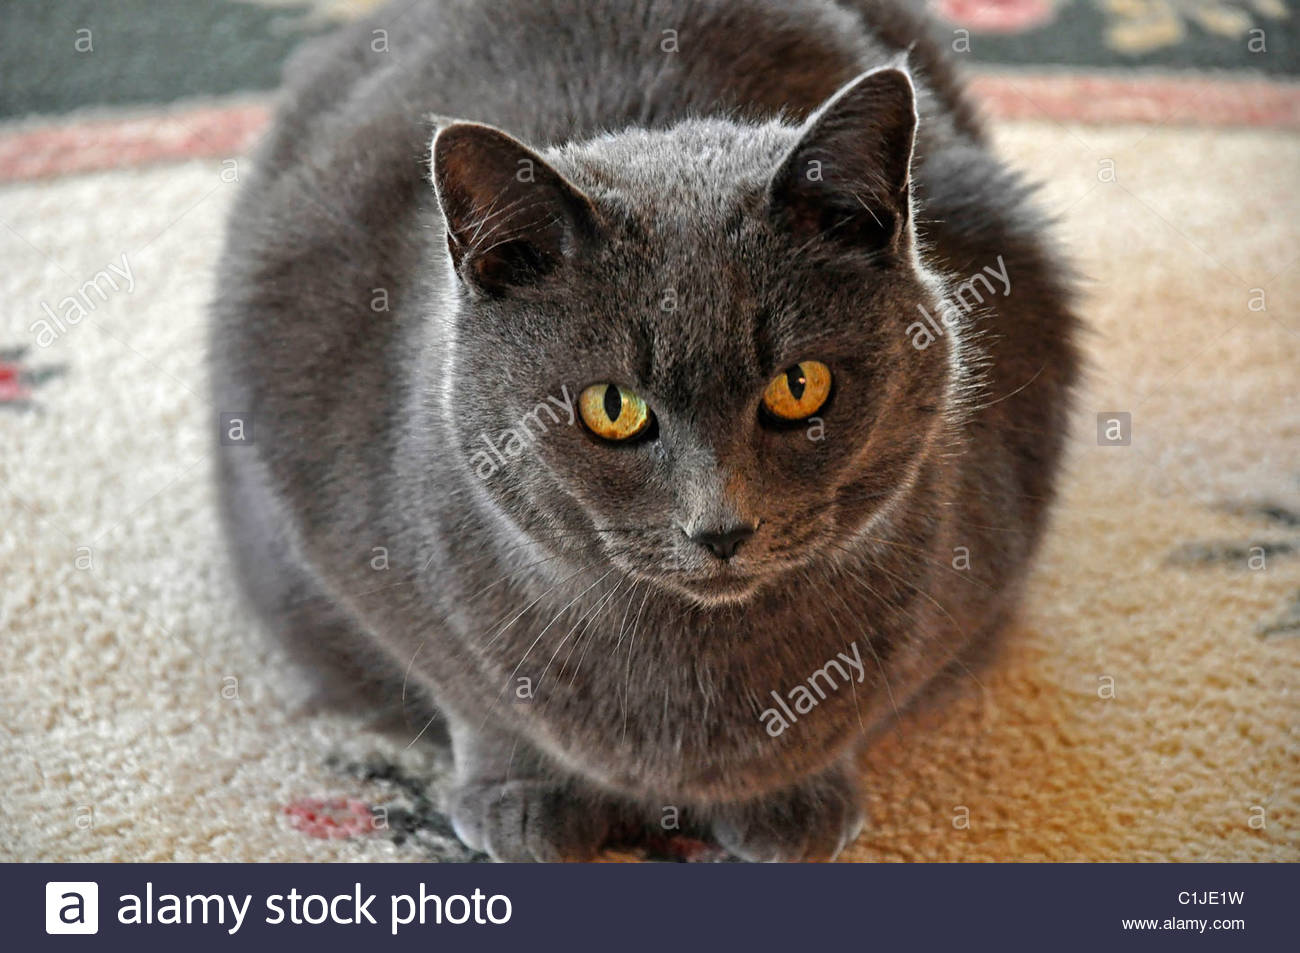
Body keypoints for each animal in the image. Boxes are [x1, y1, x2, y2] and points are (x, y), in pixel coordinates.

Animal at [213, 0, 1081, 863]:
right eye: (612, 406)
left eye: (799, 386)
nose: (722, 527)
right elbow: (474, 698)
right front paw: (521, 797)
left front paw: (791, 802)